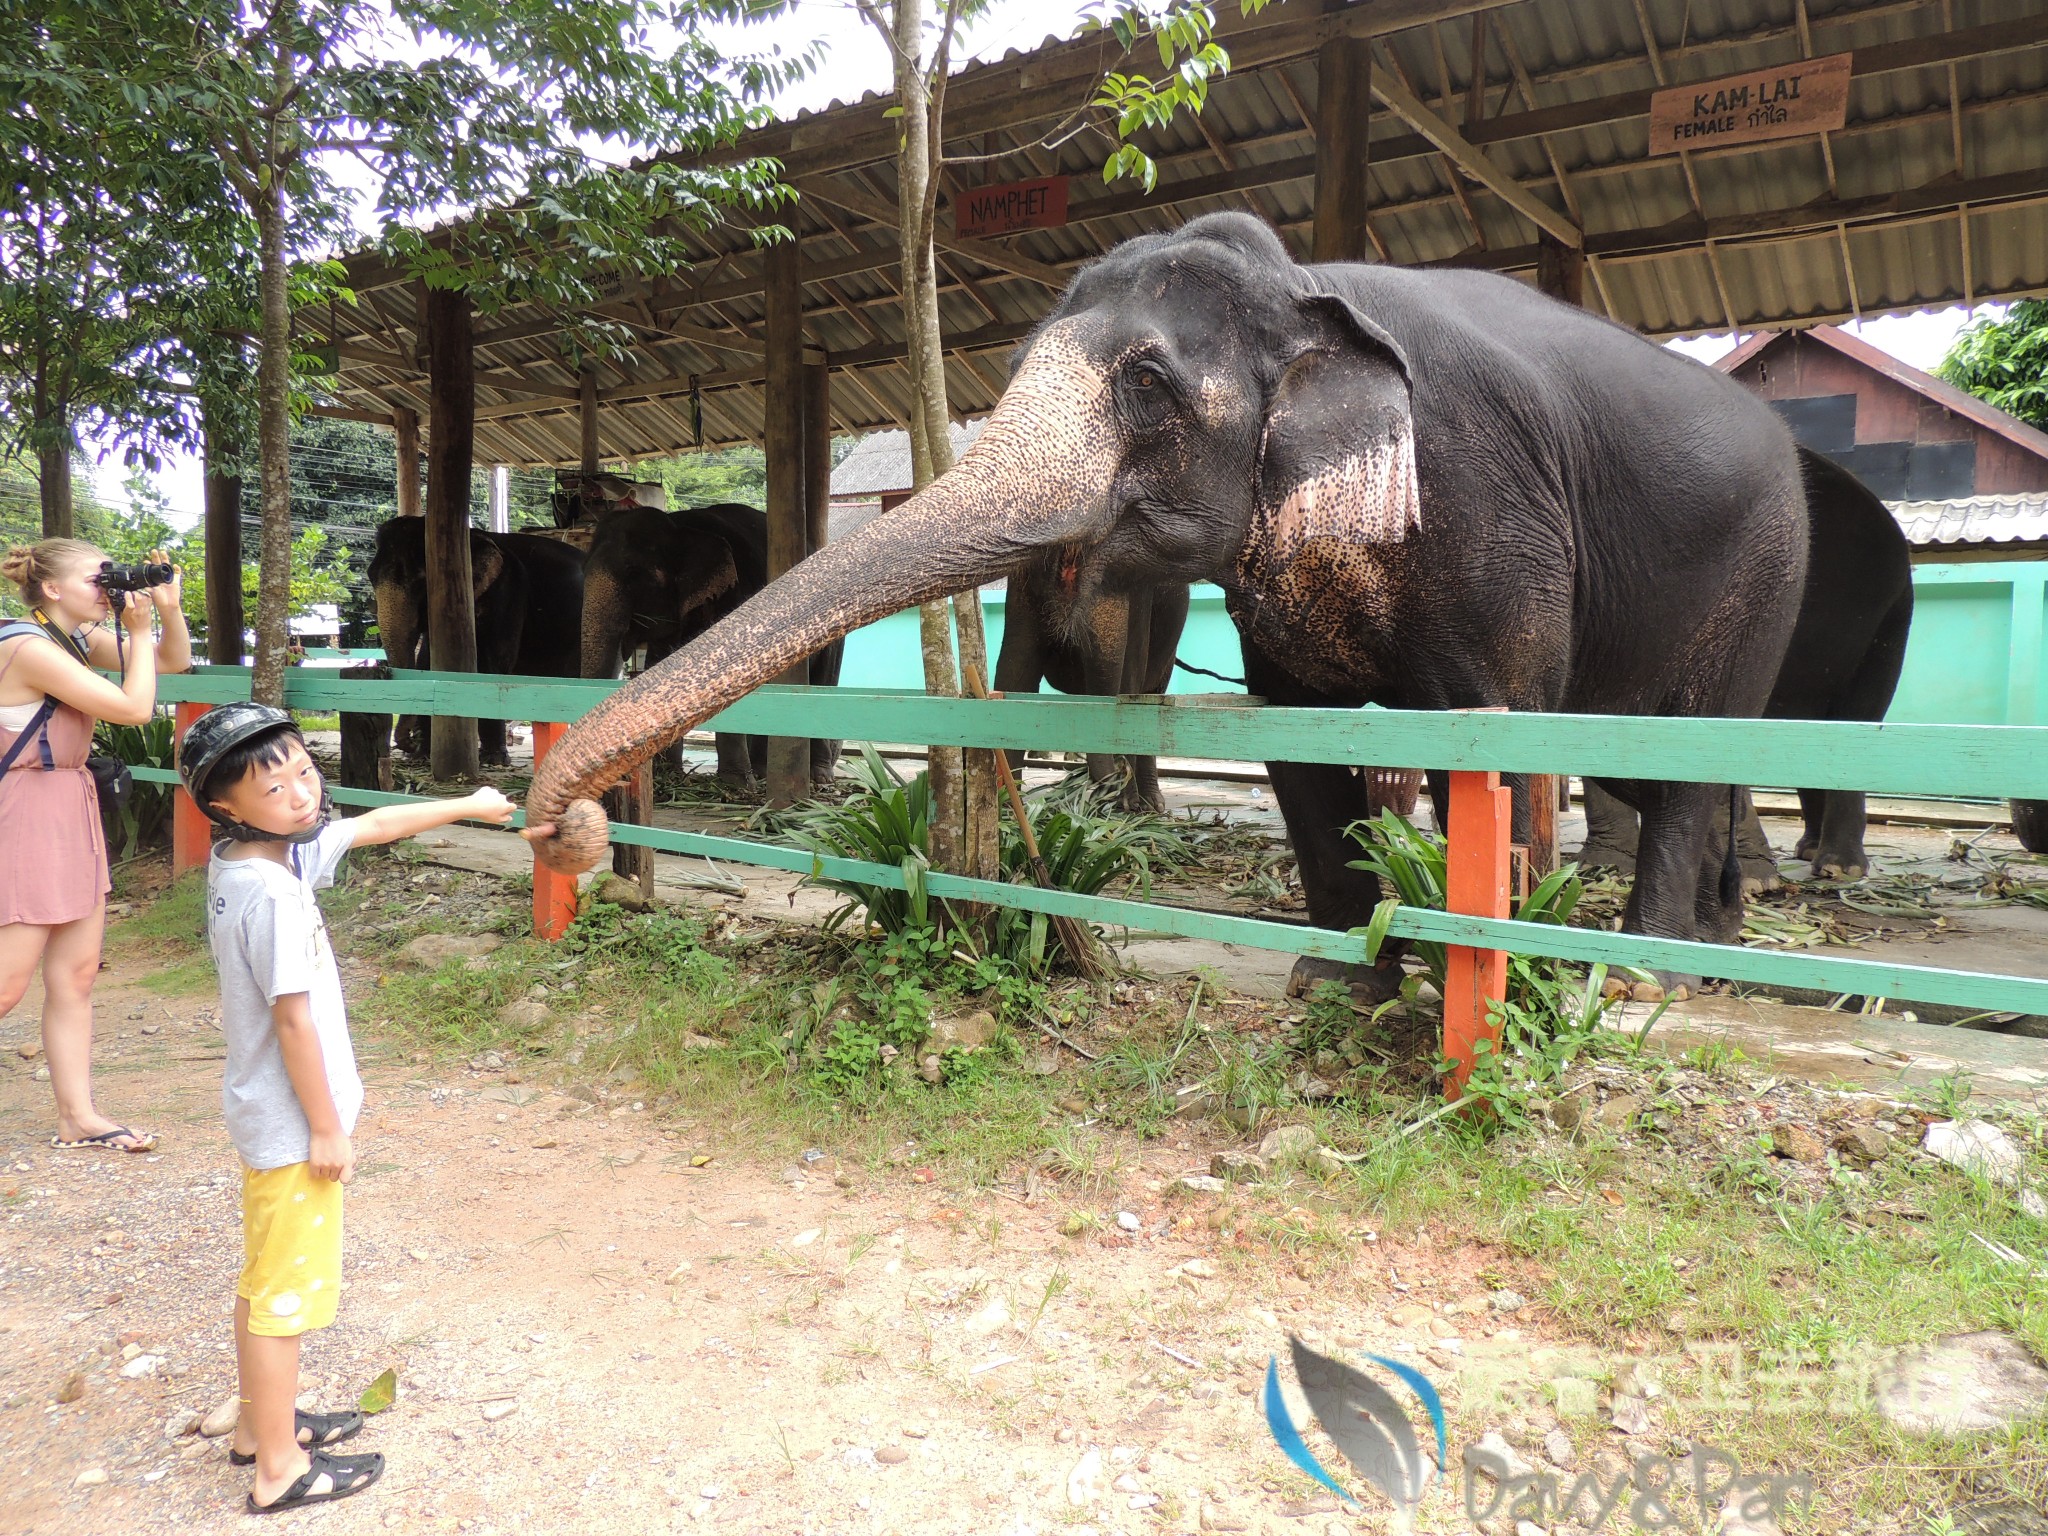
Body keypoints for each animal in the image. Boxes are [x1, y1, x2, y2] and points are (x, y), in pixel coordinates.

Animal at [581, 501, 843, 794]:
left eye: (634, 574)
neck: (680, 527)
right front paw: (667, 775)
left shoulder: (735, 596)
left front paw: (737, 784)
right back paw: (763, 772)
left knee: (824, 682)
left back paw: (819, 778)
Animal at [987, 557, 1196, 819]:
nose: (1119, 770)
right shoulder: (1021, 590)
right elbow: (1014, 673)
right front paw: (1008, 809)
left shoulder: (1141, 597)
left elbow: (1130, 681)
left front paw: (1127, 805)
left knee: (1151, 692)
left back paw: (1150, 805)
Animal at [1572, 444, 1908, 884]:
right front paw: (1605, 867)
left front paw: (1751, 881)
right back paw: (1809, 850)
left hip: (1886, 620)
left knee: (1857, 717)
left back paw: (1839, 868)